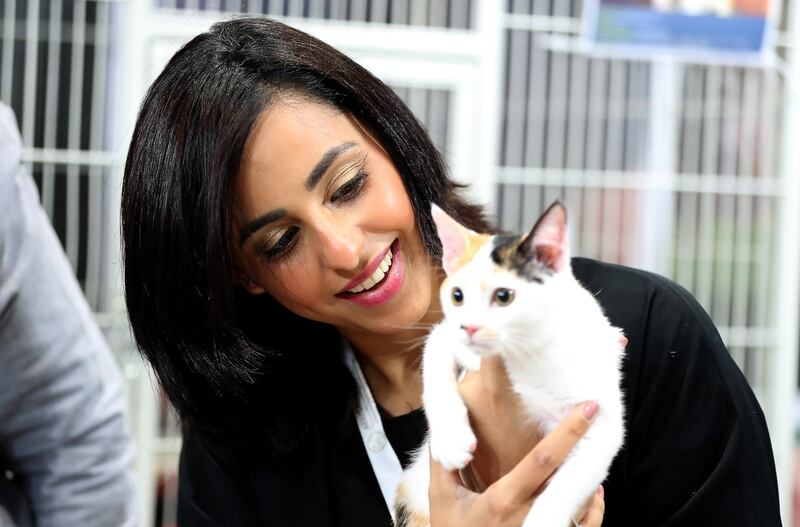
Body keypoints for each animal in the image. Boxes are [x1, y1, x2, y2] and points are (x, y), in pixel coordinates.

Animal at [396, 201, 628, 527]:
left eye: (504, 296)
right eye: (457, 296)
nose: (469, 327)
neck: (524, 352)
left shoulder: (599, 420)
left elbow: (565, 488)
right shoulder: (450, 339)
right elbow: (436, 358)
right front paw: (451, 438)